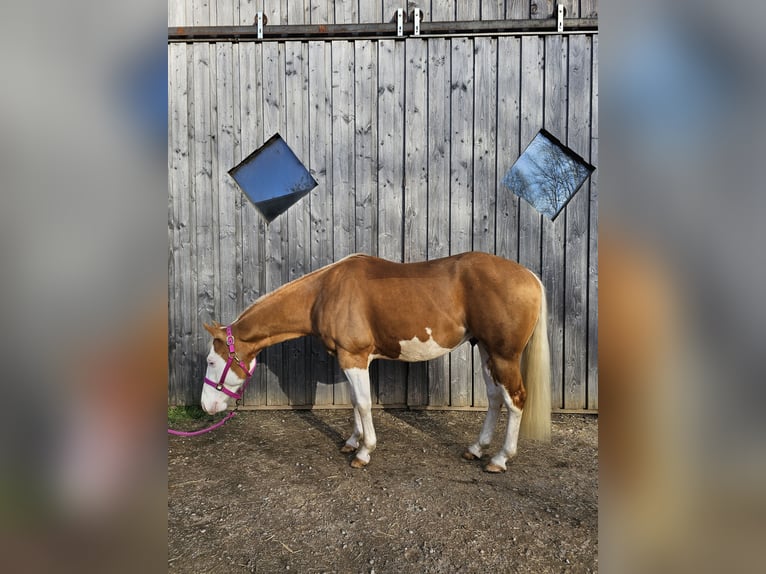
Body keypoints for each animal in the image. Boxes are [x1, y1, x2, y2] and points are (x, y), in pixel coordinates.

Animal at [200, 252, 551, 473]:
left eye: (212, 362)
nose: (206, 406)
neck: (324, 292)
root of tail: (531, 277)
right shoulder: (350, 359)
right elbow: (356, 402)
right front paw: (351, 442)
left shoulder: (354, 357)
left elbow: (364, 403)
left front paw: (364, 452)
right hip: (486, 350)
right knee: (494, 398)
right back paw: (477, 448)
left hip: (504, 356)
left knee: (516, 400)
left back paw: (500, 459)